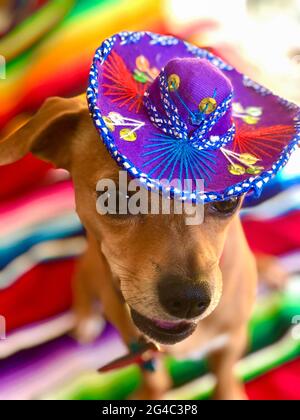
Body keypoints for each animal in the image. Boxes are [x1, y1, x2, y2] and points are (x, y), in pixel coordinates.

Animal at [0, 96, 258, 400]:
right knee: (80, 280)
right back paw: (86, 319)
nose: (188, 300)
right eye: (115, 197)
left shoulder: (233, 338)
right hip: (89, 268)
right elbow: (154, 379)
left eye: (227, 201)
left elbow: (225, 374)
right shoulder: (134, 345)